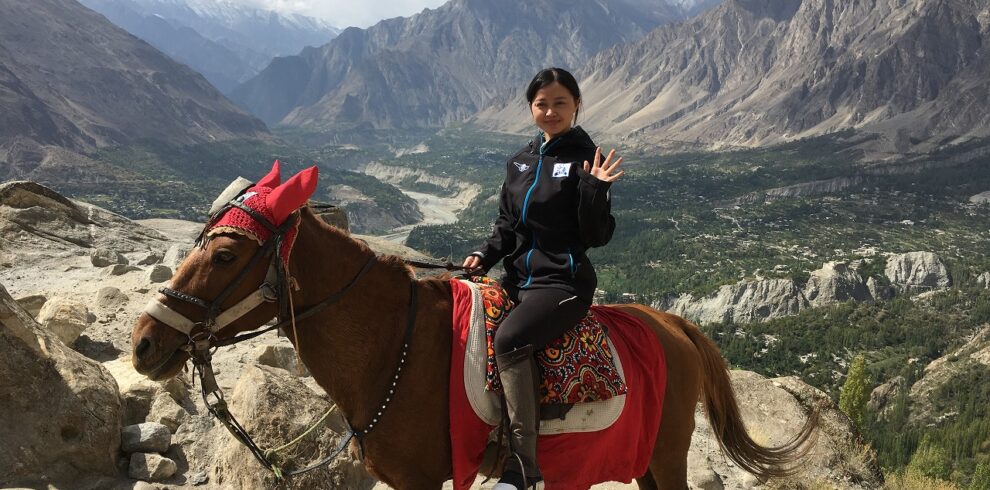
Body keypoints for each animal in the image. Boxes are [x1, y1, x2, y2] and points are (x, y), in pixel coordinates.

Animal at [130, 186, 812, 488]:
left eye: (223, 255)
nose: (144, 343)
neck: (394, 348)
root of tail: (672, 324)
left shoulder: (425, 480)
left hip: (665, 458)